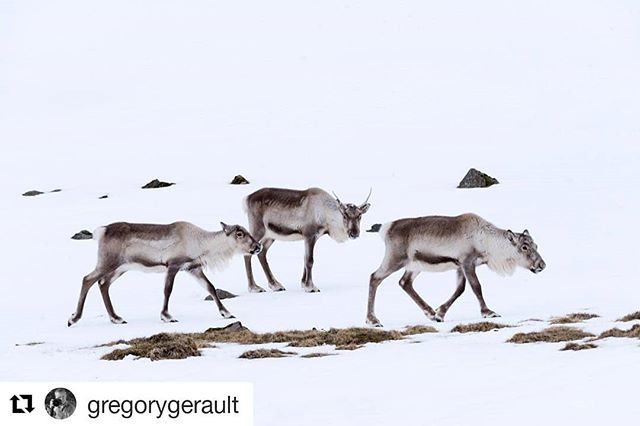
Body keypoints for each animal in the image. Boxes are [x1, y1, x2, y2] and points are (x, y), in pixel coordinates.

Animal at [67, 221, 262, 326]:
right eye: (239, 233)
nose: (257, 246)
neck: (201, 245)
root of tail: (102, 231)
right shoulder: (173, 265)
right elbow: (168, 290)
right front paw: (166, 316)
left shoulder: (193, 268)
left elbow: (211, 288)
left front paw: (226, 313)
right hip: (108, 262)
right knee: (88, 279)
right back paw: (73, 318)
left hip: (121, 268)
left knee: (103, 284)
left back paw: (116, 318)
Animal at [243, 187, 371, 293]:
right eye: (344, 215)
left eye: (360, 216)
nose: (354, 233)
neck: (325, 215)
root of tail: (247, 198)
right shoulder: (309, 235)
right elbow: (309, 261)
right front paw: (311, 287)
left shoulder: (310, 237)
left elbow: (305, 259)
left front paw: (304, 284)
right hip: (258, 229)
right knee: (247, 254)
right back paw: (254, 288)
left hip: (270, 235)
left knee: (262, 252)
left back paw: (275, 285)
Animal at [366, 213, 546, 327]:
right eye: (524, 247)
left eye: (536, 245)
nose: (542, 265)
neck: (486, 242)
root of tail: (386, 228)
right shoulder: (467, 262)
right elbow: (476, 287)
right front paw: (488, 312)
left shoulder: (460, 266)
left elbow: (460, 289)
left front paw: (440, 313)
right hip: (395, 259)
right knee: (374, 277)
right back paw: (373, 320)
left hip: (415, 265)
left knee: (405, 283)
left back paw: (430, 313)